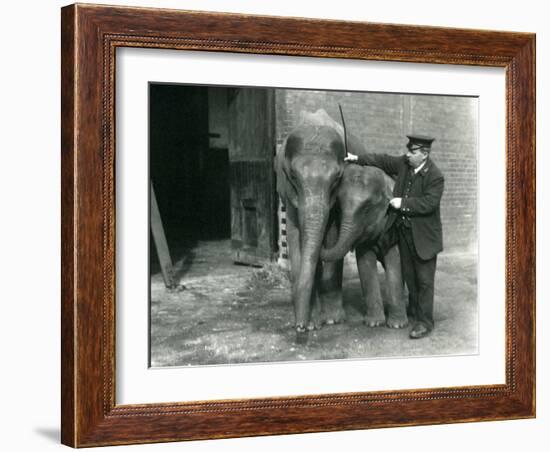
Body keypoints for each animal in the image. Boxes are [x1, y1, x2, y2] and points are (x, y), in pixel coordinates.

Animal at [320, 162, 410, 328]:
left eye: (367, 208)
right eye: (339, 207)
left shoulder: (393, 227)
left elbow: (395, 260)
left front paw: (397, 325)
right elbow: (365, 263)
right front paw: (374, 323)